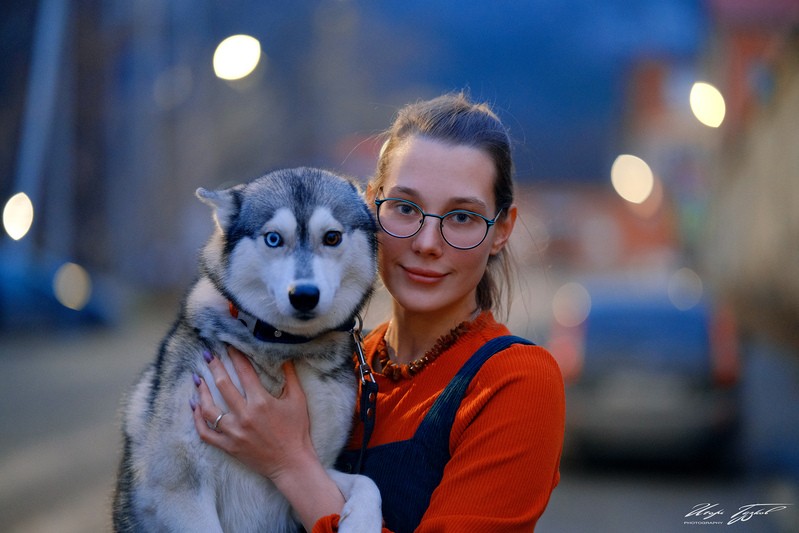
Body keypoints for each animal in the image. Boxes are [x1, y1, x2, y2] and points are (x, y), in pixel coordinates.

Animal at [113, 167, 384, 532]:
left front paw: (363, 522)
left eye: (331, 237)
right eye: (273, 239)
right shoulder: (176, 488)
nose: (304, 295)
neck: (280, 346)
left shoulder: (311, 471)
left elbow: (369, 483)